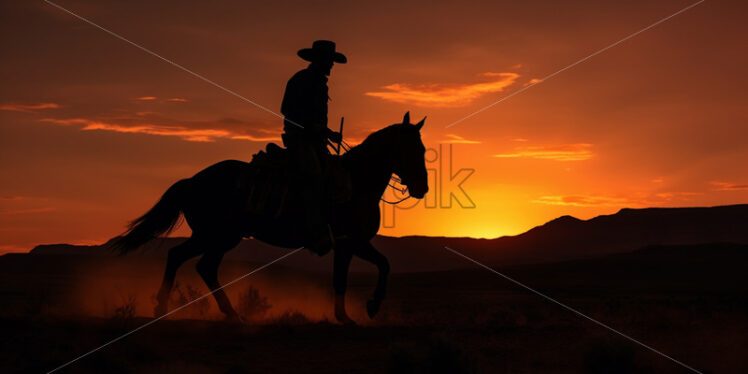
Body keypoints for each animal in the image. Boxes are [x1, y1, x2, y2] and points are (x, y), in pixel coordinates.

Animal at [111, 112, 426, 324]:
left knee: (191, 262)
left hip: (216, 238)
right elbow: (368, 270)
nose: (422, 188)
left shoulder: (351, 244)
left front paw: (354, 313)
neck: (357, 182)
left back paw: (212, 312)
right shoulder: (352, 242)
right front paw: (366, 308)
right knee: (192, 262)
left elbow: (363, 271)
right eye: (413, 149)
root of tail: (192, 181)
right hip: (217, 236)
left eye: (423, 149)